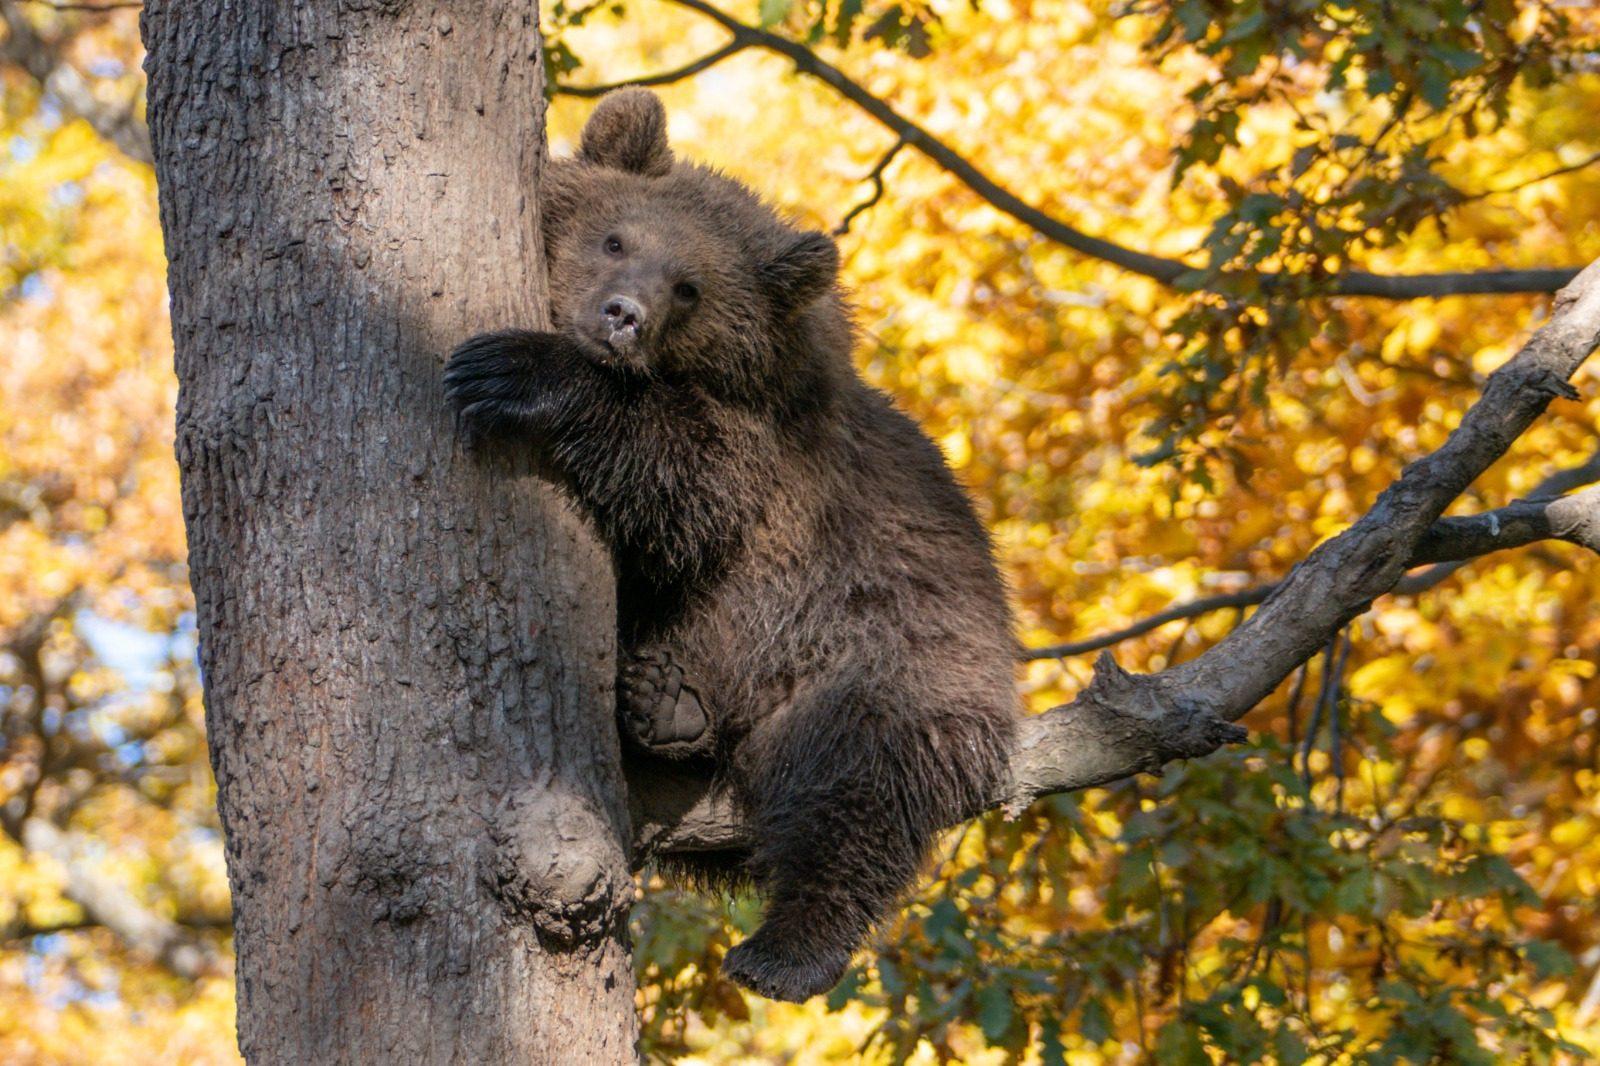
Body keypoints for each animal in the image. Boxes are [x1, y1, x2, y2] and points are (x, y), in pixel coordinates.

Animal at [443, 88, 1019, 1003]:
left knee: (856, 795)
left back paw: (785, 946)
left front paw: (518, 369)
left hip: (888, 655)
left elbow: (685, 480)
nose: (623, 315)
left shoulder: (764, 461)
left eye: (691, 288)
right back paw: (661, 706)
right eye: (617, 238)